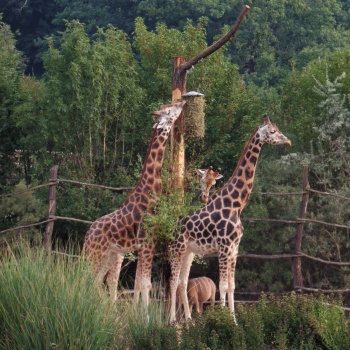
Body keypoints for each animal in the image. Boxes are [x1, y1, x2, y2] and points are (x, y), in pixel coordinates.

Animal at [83, 100, 185, 306]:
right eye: (169, 111)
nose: (182, 102)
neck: (150, 191)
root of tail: (88, 234)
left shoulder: (147, 245)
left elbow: (141, 283)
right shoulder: (146, 243)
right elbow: (145, 284)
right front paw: (144, 314)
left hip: (108, 255)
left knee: (96, 280)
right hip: (96, 253)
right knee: (85, 277)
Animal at [168, 114, 292, 322]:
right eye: (272, 131)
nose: (288, 140)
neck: (236, 205)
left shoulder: (234, 249)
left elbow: (232, 287)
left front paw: (233, 321)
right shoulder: (224, 247)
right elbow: (223, 286)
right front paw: (221, 320)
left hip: (188, 252)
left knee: (181, 282)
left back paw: (187, 321)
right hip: (176, 250)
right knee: (172, 280)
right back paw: (171, 321)